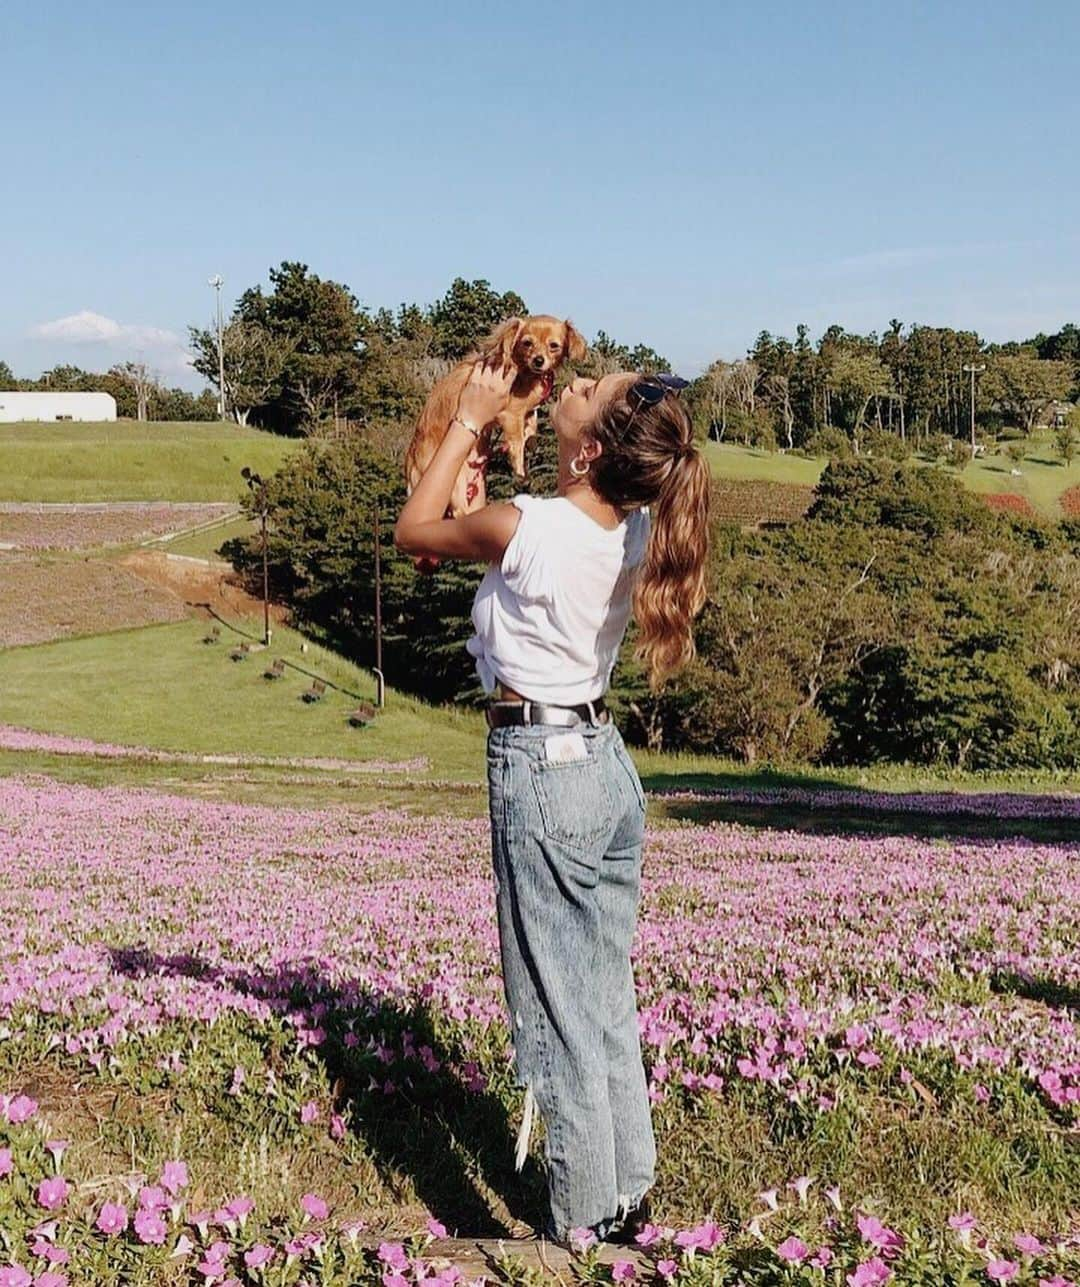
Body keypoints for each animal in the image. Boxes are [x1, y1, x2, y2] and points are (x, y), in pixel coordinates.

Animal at [406, 316, 592, 527]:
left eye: (554, 346)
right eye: (527, 343)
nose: (538, 360)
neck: (526, 372)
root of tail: (411, 463)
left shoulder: (525, 412)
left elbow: (531, 424)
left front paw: (531, 441)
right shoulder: (510, 414)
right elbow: (517, 440)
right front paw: (520, 469)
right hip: (455, 483)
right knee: (457, 514)